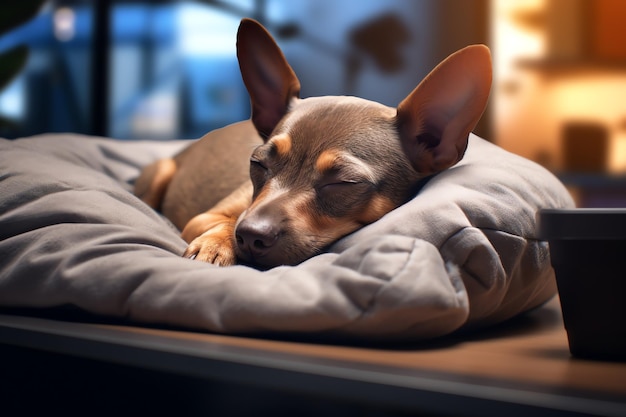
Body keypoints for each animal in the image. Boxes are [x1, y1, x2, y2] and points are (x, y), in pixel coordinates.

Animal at [134, 17, 490, 266]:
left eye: (344, 183)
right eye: (258, 164)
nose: (250, 236)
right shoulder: (205, 217)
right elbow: (227, 219)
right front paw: (216, 242)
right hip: (162, 172)